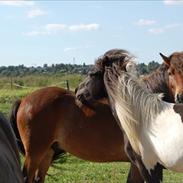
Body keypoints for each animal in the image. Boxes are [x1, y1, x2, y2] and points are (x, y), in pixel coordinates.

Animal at [9, 49, 183, 183]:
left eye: (92, 73)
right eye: (170, 73)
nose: (77, 91)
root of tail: (24, 100)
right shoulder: (141, 164)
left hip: (46, 154)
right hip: (35, 154)